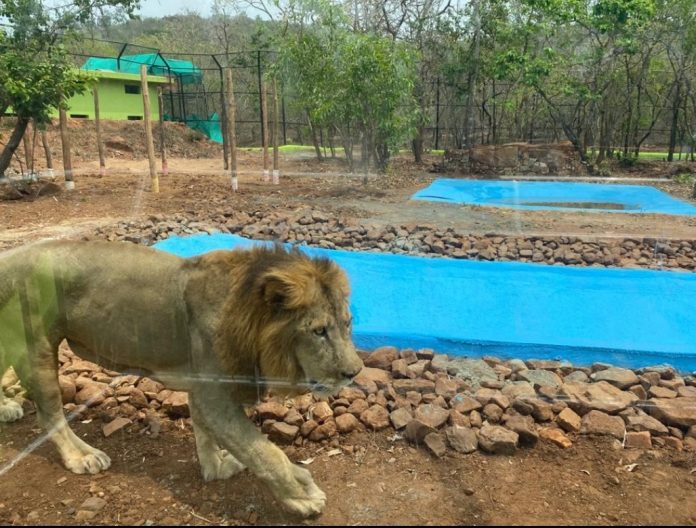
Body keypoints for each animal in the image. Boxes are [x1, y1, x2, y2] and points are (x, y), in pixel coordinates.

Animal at [0, 239, 363, 518]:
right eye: (319, 331)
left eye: (347, 324)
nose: (354, 372)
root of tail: (11, 255)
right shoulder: (214, 395)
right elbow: (264, 452)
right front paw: (302, 494)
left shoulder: (203, 388)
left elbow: (207, 435)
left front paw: (216, 467)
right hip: (36, 346)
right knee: (50, 416)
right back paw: (83, 456)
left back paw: (6, 407)